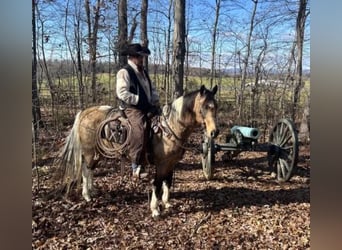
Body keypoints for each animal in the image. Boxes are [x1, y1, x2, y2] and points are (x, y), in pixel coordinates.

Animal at [58, 84, 219, 217]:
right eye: (204, 107)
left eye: (215, 106)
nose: (214, 132)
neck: (169, 128)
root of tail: (84, 112)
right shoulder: (161, 164)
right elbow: (157, 184)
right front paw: (155, 209)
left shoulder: (171, 163)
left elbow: (167, 181)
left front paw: (166, 203)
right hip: (90, 152)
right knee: (86, 170)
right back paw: (87, 195)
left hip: (99, 153)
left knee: (90, 170)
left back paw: (92, 191)